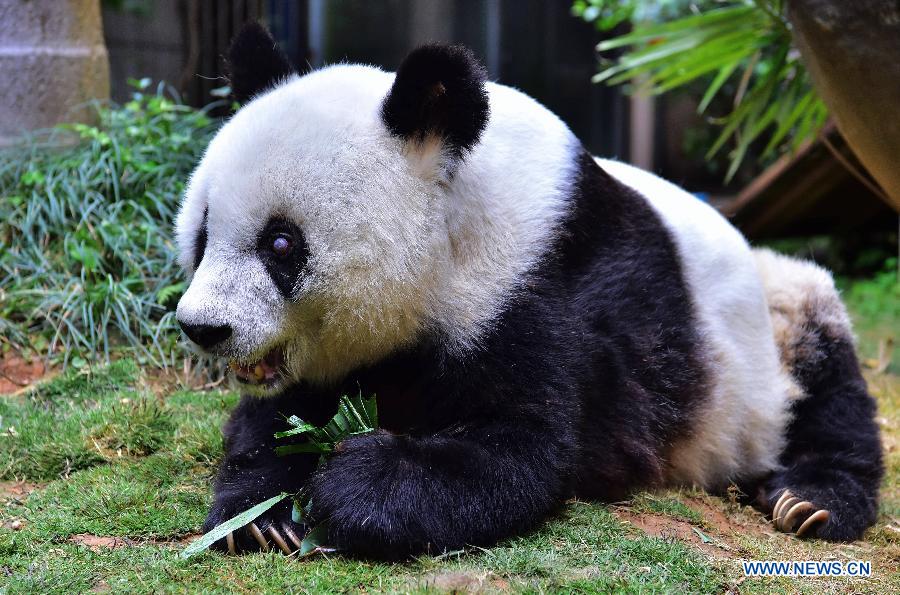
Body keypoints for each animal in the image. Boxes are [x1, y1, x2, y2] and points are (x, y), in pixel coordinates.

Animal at [172, 23, 884, 560]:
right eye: (203, 233)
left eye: (281, 244)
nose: (203, 326)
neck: (458, 216)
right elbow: (278, 417)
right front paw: (261, 515)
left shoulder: (541, 284)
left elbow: (527, 450)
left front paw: (356, 480)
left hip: (771, 329)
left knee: (825, 379)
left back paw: (811, 500)